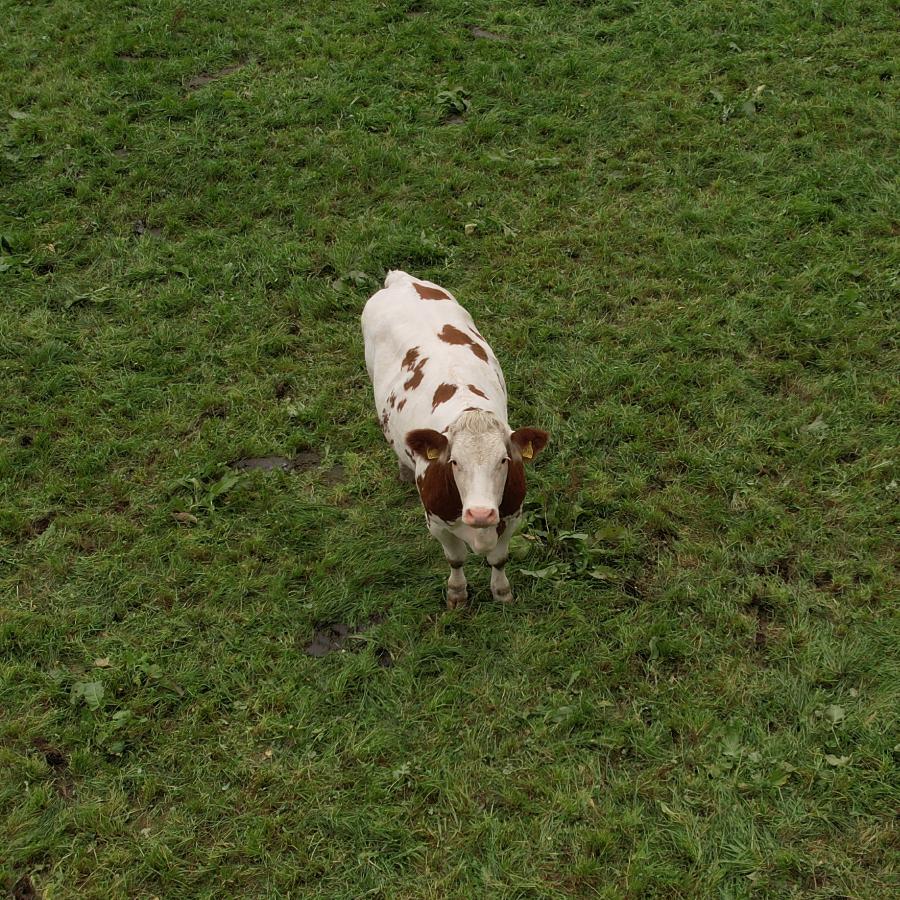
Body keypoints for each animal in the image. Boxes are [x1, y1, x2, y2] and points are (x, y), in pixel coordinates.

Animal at [361, 270, 549, 608]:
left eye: (503, 460)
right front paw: (457, 593)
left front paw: (502, 592)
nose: (481, 512)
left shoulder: (512, 517)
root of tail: (401, 279)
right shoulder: (437, 524)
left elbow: (499, 560)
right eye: (454, 462)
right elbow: (455, 560)